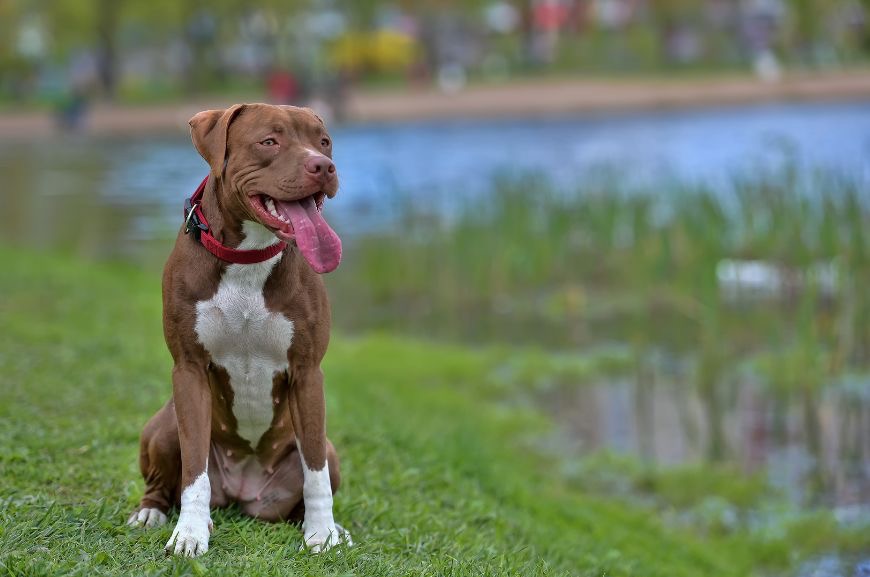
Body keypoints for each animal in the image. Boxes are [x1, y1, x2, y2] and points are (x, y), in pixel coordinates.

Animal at [126, 102, 350, 552]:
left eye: (323, 142)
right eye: (269, 141)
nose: (324, 166)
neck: (248, 257)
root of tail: (243, 494)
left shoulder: (307, 373)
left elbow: (315, 470)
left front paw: (322, 533)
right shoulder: (189, 370)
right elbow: (194, 471)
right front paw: (190, 533)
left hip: (327, 454)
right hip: (163, 425)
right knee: (164, 482)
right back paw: (151, 512)